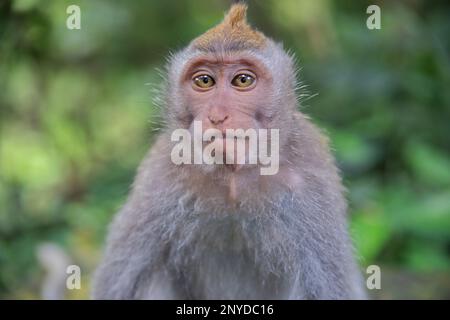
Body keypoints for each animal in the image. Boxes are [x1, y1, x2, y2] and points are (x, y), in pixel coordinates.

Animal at [91, 3, 366, 300]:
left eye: (242, 80)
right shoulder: (158, 177)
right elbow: (119, 286)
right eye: (204, 81)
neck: (233, 179)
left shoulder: (311, 179)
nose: (217, 115)